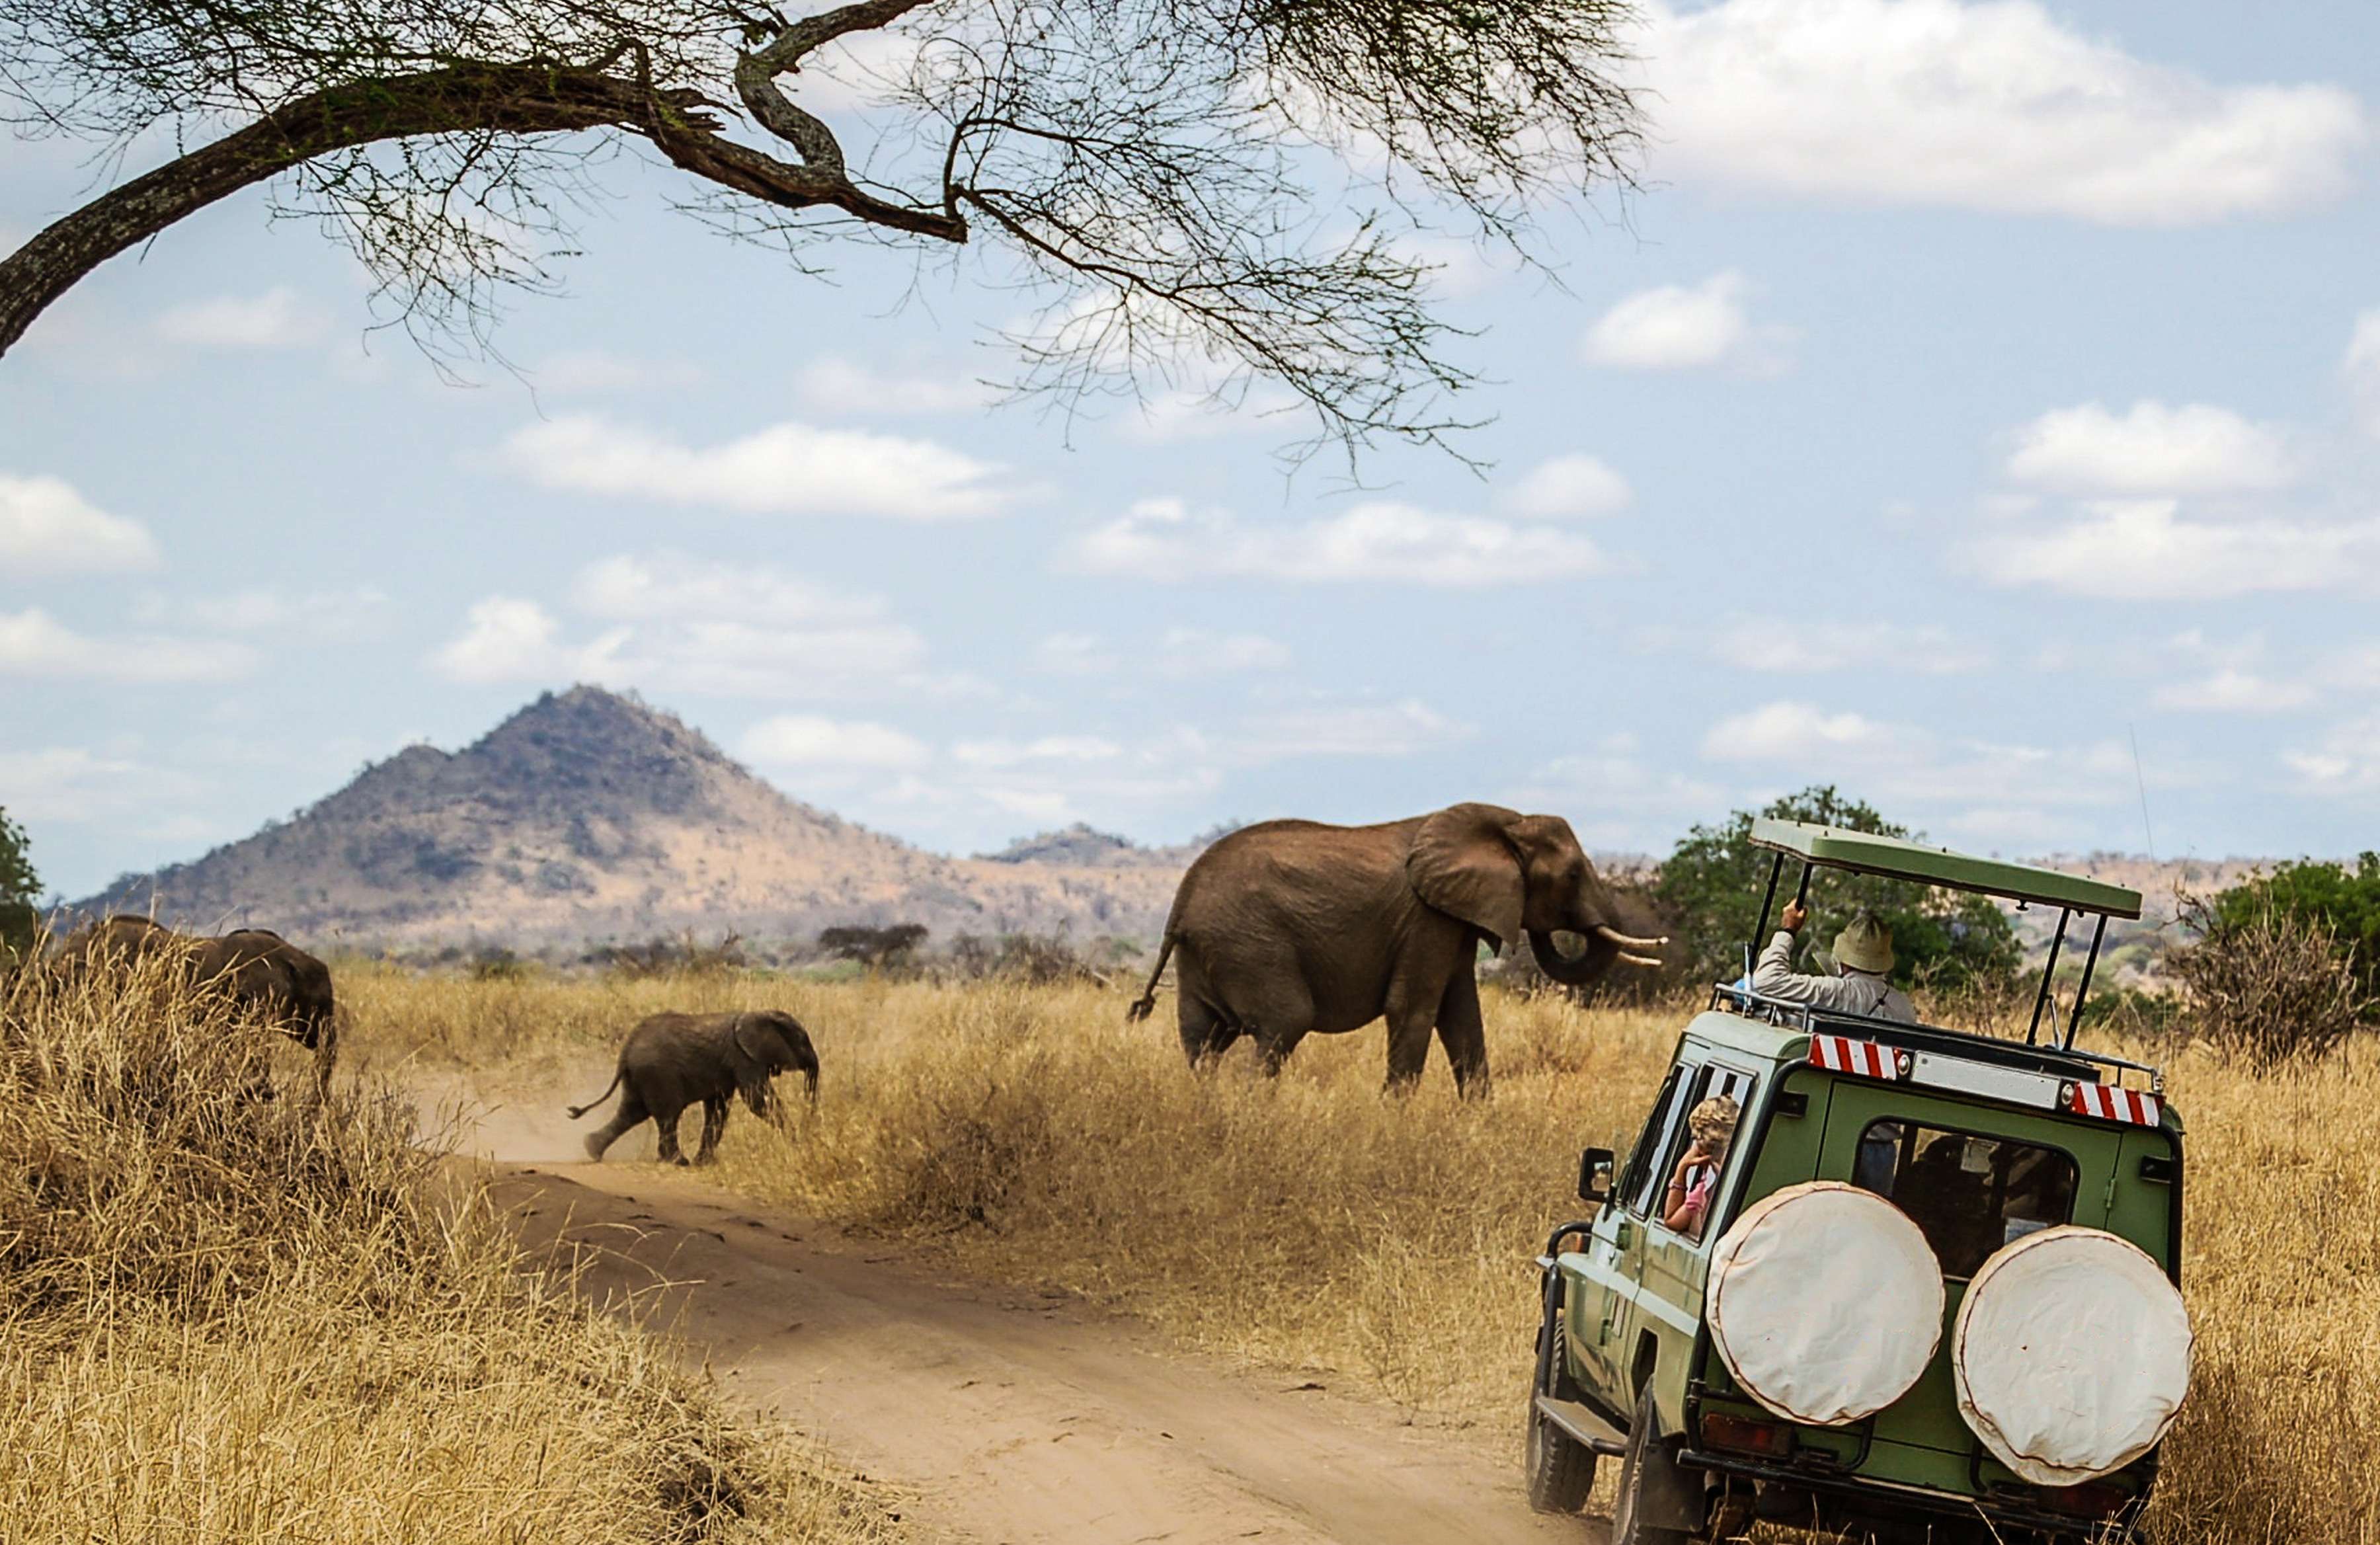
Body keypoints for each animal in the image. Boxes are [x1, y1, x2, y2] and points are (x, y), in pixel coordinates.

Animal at [568, 1009, 820, 1164]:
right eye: (804, 1042)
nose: (809, 1135)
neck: (757, 1013)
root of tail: (627, 1049)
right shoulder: (744, 1058)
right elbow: (757, 1100)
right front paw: (797, 1145)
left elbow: (718, 1108)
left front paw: (705, 1163)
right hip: (659, 1074)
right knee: (668, 1115)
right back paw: (679, 1161)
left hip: (641, 1076)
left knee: (632, 1113)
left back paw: (591, 1149)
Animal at [1124, 803, 1664, 1095]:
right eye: (1572, 874)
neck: (1505, 821)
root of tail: (1181, 903)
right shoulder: (1427, 919)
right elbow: (1415, 1008)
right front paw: (1396, 1117)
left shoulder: (1452, 918)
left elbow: (1462, 1014)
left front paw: (1477, 1119)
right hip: (1251, 945)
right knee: (1283, 1022)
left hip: (1207, 952)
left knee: (1203, 1038)